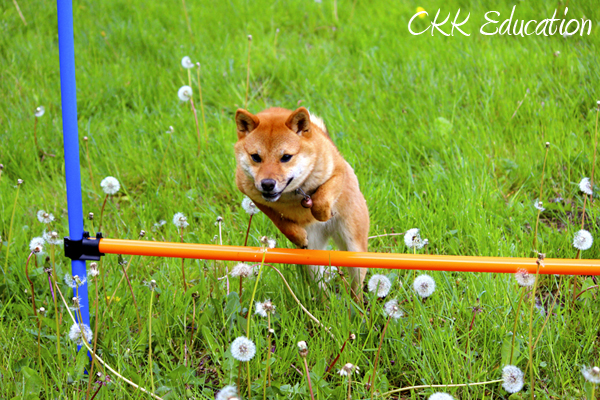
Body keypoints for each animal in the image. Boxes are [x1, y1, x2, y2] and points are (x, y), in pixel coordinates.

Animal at [234, 108, 370, 296]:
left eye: (286, 157)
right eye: (255, 157)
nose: (267, 184)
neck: (292, 194)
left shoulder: (337, 172)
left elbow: (321, 199)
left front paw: (323, 213)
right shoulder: (253, 195)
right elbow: (282, 222)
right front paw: (298, 236)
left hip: (354, 250)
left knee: (356, 287)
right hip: (312, 260)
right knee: (321, 287)